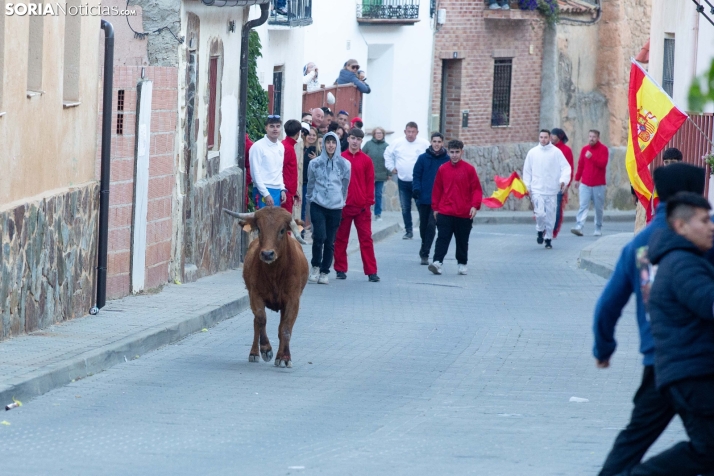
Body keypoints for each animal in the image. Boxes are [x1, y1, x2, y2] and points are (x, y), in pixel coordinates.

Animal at [224, 207, 308, 368]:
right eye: (259, 229)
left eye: (282, 230)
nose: (267, 254)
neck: (274, 273)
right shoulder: (255, 295)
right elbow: (261, 319)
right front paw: (266, 350)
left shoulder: (293, 300)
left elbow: (285, 328)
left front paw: (285, 358)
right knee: (256, 323)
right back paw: (254, 353)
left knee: (281, 328)